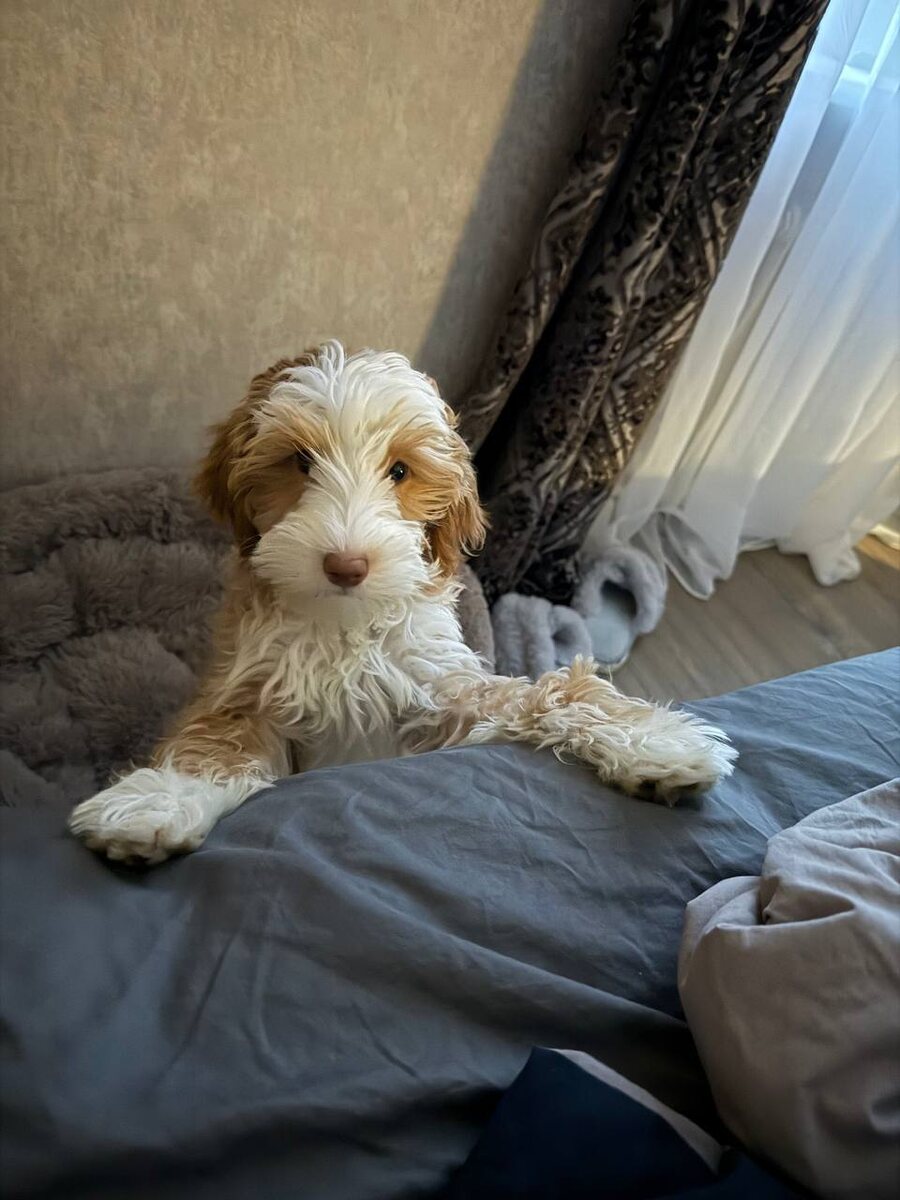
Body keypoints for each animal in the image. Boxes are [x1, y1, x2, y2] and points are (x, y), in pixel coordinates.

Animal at [69, 341, 736, 864]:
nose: (347, 564)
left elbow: (545, 694)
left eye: (398, 471)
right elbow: (213, 743)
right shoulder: (249, 692)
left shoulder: (439, 699)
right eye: (300, 461)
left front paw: (656, 742)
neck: (343, 626)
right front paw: (156, 800)